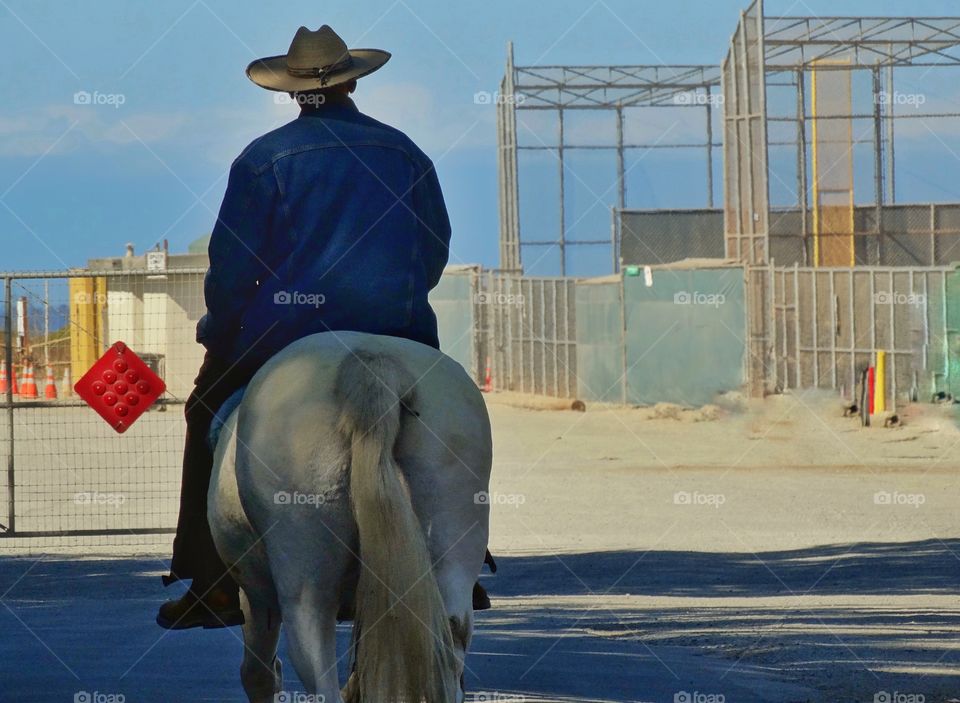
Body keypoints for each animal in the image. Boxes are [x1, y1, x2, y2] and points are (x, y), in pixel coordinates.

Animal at [211, 332, 496, 703]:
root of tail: (371, 364)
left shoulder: (257, 597)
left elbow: (259, 672)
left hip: (305, 582)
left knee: (315, 660)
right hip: (451, 547)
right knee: (451, 633)